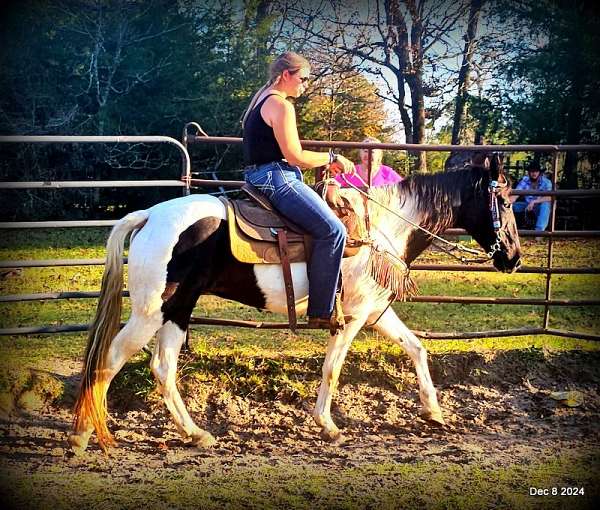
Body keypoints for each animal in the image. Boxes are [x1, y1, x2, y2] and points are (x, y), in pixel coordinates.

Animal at [69, 154, 520, 450]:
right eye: (506, 201)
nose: (513, 258)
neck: (382, 229)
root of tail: (150, 215)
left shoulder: (376, 312)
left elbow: (416, 348)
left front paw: (434, 412)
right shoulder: (353, 317)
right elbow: (332, 368)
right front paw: (328, 426)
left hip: (178, 310)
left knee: (162, 367)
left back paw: (195, 433)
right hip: (151, 311)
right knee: (110, 358)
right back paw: (85, 432)